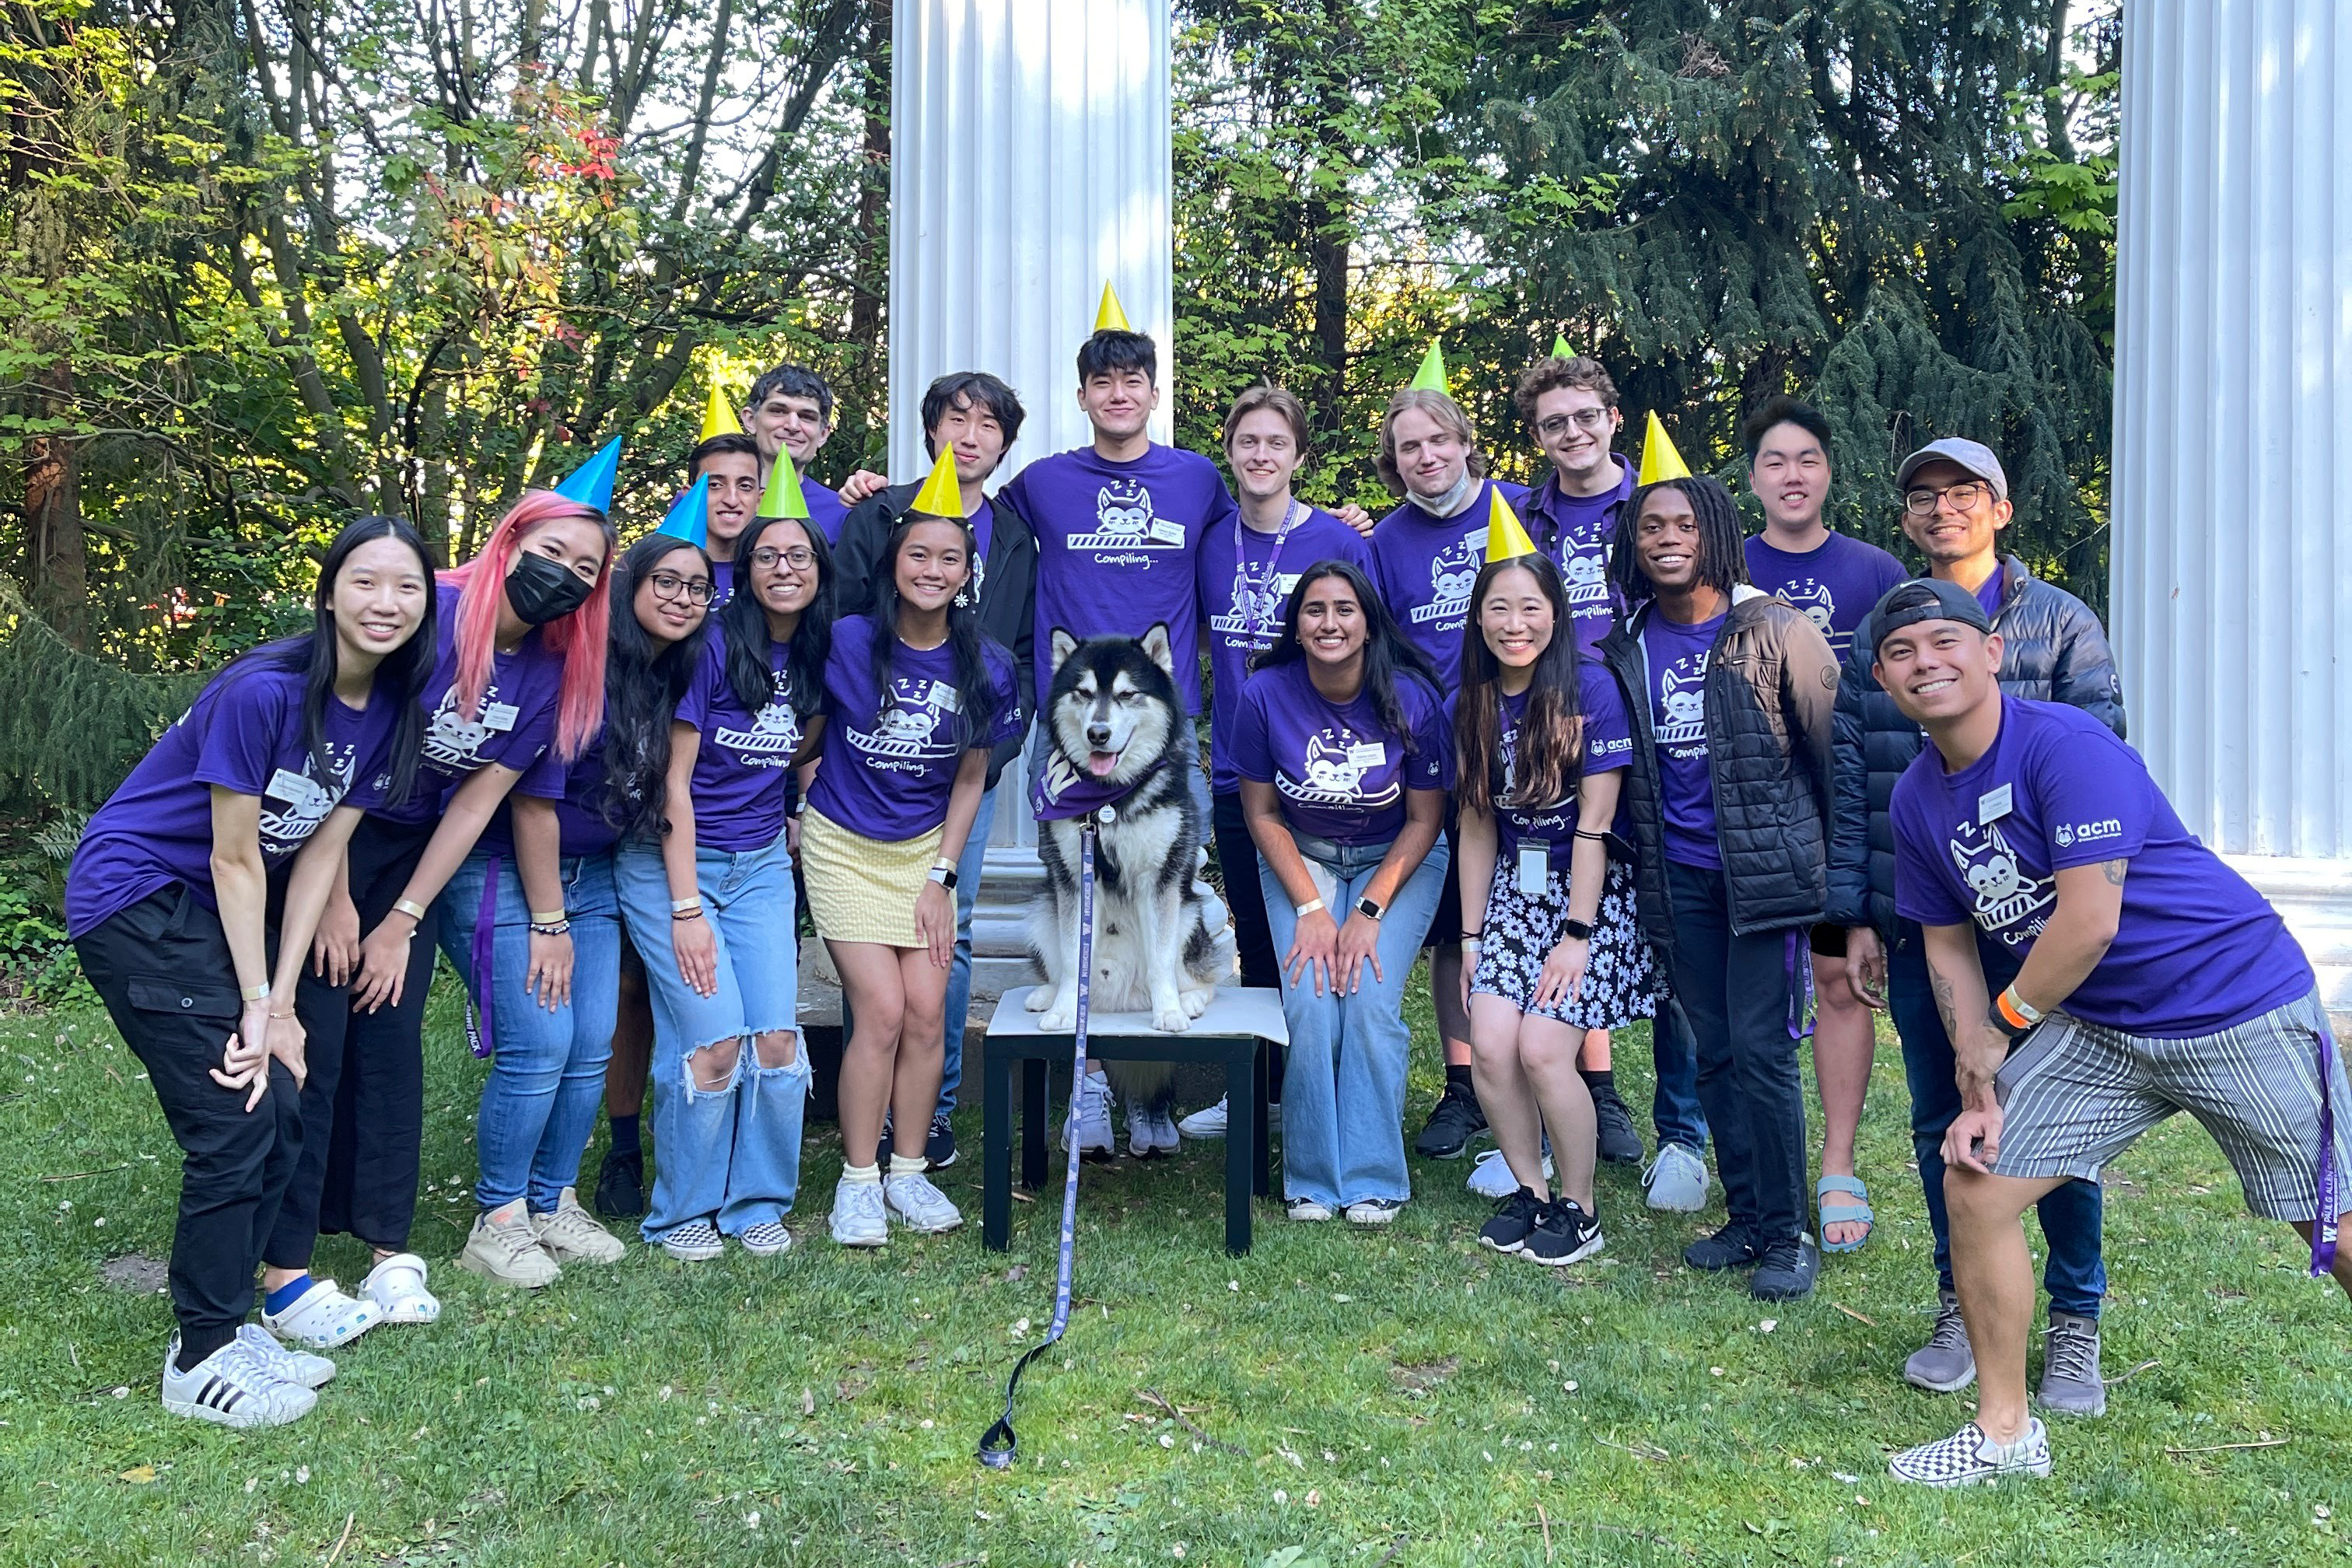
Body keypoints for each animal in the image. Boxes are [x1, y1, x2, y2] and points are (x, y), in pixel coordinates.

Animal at [1034, 625, 1241, 1104]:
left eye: (1128, 694)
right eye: (1083, 692)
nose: (1098, 733)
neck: (1109, 800)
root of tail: (1120, 997)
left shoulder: (1159, 881)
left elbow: (1161, 957)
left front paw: (1169, 1012)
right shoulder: (1073, 881)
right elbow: (1072, 960)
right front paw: (1065, 1010)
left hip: (1191, 911)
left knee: (1195, 975)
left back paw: (1188, 999)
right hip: (1041, 909)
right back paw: (1047, 994)